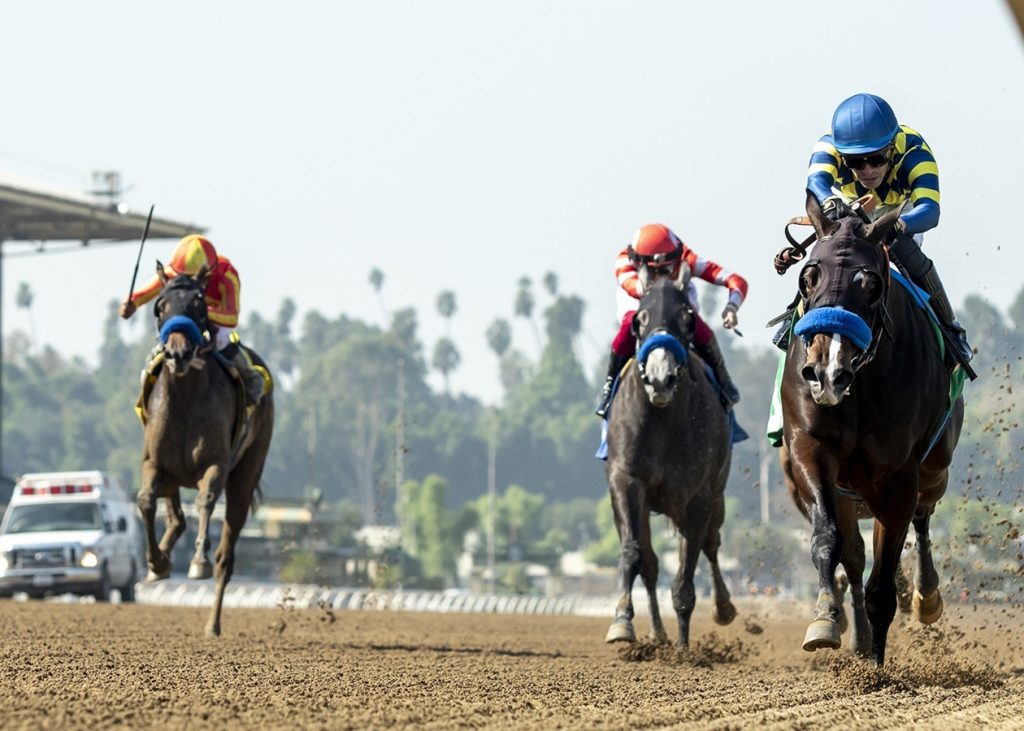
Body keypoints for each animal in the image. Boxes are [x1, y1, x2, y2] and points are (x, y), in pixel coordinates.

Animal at [134, 264, 274, 634]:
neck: (185, 397)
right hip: (172, 475)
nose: (177, 353)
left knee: (227, 554)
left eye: (199, 304)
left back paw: (213, 623)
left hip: (247, 473)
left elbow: (206, 500)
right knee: (175, 516)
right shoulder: (154, 462)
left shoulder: (216, 464)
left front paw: (198, 560)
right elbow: (145, 501)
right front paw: (156, 562)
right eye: (161, 306)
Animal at [598, 274, 737, 642]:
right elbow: (634, 553)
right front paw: (622, 621)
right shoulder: (627, 482)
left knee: (711, 544)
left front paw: (684, 647)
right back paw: (658, 634)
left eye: (687, 319)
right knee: (649, 562)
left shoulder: (698, 495)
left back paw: (722, 608)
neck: (662, 416)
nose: (661, 377)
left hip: (716, 498)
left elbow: (687, 575)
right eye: (640, 319)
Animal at [778, 190, 962, 663]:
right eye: (808, 276)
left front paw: (876, 671)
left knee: (922, 517)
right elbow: (830, 542)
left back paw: (926, 596)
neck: (859, 386)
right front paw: (825, 622)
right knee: (856, 558)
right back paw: (853, 634)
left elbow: (884, 586)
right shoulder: (810, 450)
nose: (826, 373)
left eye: (871, 285)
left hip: (936, 467)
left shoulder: (897, 477)